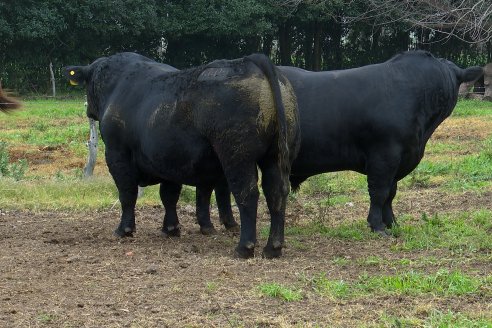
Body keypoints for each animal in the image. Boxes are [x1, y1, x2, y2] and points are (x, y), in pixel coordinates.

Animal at [65, 52, 300, 258]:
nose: (88, 111)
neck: (117, 86)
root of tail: (250, 61)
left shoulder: (117, 153)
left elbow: (127, 194)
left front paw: (124, 229)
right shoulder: (169, 160)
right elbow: (169, 195)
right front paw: (171, 228)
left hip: (237, 157)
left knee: (247, 195)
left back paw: (244, 248)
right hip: (274, 157)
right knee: (276, 194)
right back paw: (273, 248)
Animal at [194, 50, 482, 236]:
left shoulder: (401, 157)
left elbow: (391, 193)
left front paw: (392, 223)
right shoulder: (385, 154)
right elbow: (379, 192)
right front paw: (377, 226)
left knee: (215, 187)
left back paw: (223, 224)